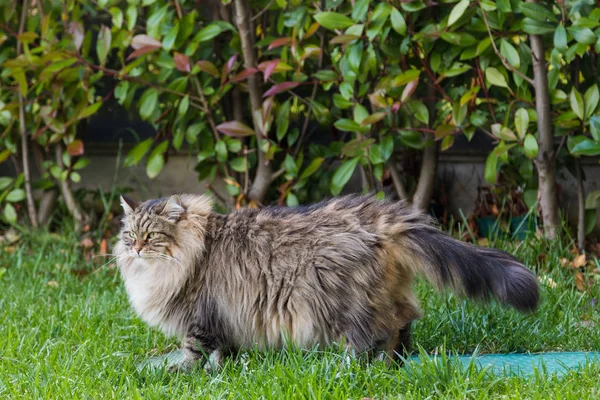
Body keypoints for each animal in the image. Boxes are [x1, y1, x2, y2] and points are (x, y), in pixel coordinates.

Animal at [113, 193, 540, 372]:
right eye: (128, 235)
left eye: (151, 236)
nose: (134, 248)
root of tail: (381, 215)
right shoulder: (225, 315)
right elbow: (224, 352)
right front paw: (221, 371)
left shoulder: (199, 316)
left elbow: (194, 350)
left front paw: (180, 371)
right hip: (382, 294)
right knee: (402, 324)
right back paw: (393, 366)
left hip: (340, 302)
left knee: (370, 337)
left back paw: (348, 370)